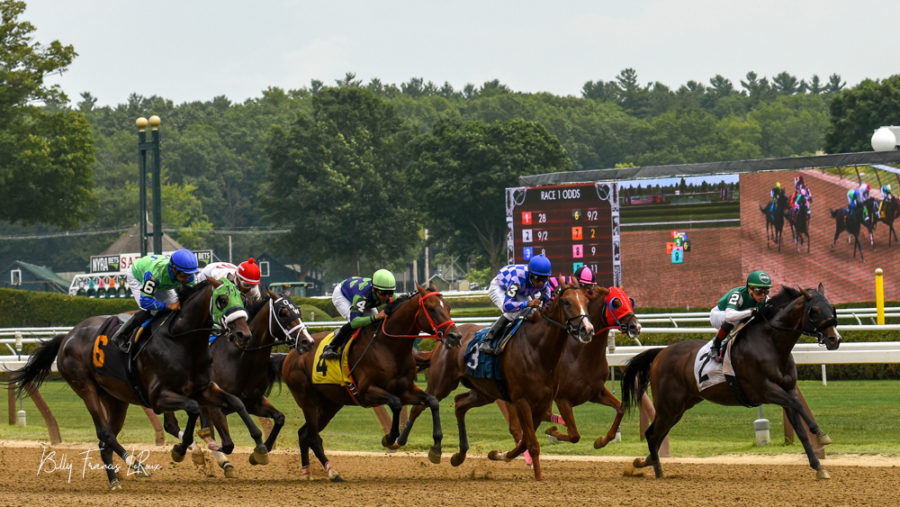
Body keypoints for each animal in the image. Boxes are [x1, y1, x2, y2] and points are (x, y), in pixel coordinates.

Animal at [14, 280, 268, 490]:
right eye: (222, 299)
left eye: (242, 298)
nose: (243, 334)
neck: (182, 341)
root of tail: (67, 336)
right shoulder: (159, 397)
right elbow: (193, 408)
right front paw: (181, 450)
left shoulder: (203, 388)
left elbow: (235, 402)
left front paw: (258, 447)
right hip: (85, 387)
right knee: (105, 432)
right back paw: (135, 464)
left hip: (115, 399)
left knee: (105, 439)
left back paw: (114, 480)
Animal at [163, 292, 316, 478]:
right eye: (283, 312)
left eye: (298, 310)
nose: (307, 341)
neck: (239, 359)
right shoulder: (216, 406)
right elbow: (227, 444)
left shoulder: (253, 402)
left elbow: (280, 418)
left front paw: (258, 453)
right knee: (171, 425)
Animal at [282, 284, 464, 482]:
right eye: (431, 308)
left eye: (448, 307)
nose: (455, 336)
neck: (389, 347)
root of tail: (293, 352)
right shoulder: (367, 392)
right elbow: (396, 403)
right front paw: (389, 438)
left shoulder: (406, 390)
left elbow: (432, 401)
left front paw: (436, 448)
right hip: (308, 401)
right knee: (313, 437)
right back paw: (332, 472)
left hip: (330, 404)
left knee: (304, 434)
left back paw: (307, 472)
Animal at [398, 280, 596, 482]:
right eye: (566, 302)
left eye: (587, 301)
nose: (587, 329)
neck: (537, 350)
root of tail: (446, 339)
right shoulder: (521, 401)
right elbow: (532, 443)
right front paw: (539, 478)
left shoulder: (542, 403)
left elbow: (525, 441)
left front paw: (499, 455)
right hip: (441, 384)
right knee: (420, 406)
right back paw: (403, 442)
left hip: (484, 392)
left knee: (460, 404)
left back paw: (458, 456)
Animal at [624, 286, 840, 480]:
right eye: (814, 311)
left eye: (831, 307)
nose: (835, 339)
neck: (771, 344)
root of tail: (661, 352)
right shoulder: (764, 390)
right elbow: (798, 405)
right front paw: (821, 435)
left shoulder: (788, 390)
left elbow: (800, 427)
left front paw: (819, 467)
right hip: (669, 405)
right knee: (652, 434)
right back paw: (658, 472)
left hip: (679, 407)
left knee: (658, 435)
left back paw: (644, 462)